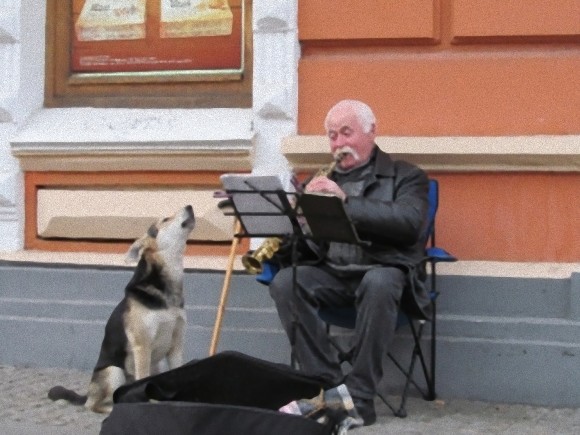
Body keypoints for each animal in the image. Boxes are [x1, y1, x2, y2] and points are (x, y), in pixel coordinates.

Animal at [48, 206, 197, 414]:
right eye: (166, 219)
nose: (190, 206)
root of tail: (89, 391)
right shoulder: (142, 346)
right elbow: (142, 379)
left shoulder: (176, 345)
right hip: (114, 371)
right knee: (93, 405)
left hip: (154, 366)